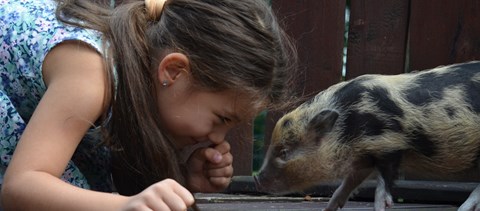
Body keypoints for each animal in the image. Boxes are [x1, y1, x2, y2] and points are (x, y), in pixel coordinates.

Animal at [256, 61, 480, 211]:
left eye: (284, 152)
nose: (257, 178)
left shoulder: (391, 143)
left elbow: (382, 187)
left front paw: (382, 206)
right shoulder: (364, 158)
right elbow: (346, 185)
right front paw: (328, 208)